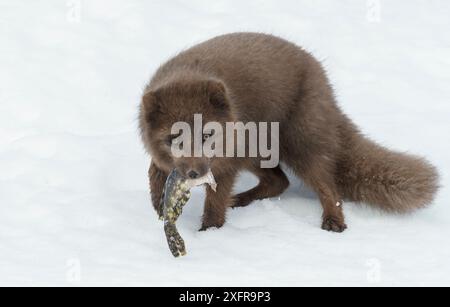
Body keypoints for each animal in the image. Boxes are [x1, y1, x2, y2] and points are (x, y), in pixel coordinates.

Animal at [138, 31, 440, 233]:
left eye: (207, 135)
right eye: (174, 138)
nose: (194, 173)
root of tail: (325, 85)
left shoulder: (226, 166)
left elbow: (214, 204)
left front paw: (209, 233)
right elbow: (154, 171)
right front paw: (158, 205)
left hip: (300, 145)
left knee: (328, 187)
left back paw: (334, 222)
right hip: (257, 151)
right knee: (279, 181)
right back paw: (241, 199)